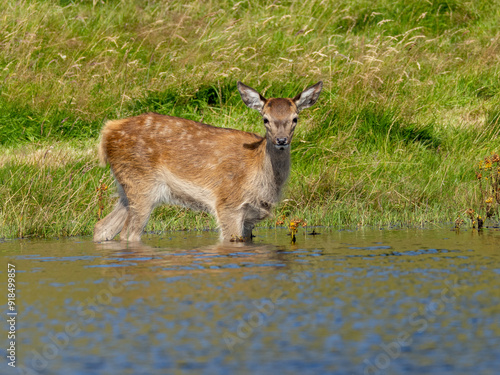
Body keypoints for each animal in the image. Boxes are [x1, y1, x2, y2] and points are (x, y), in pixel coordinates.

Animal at [92, 80, 322, 242]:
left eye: (295, 118)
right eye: (265, 119)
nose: (281, 140)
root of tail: (107, 131)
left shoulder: (251, 216)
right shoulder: (228, 204)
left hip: (126, 187)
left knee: (101, 227)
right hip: (142, 183)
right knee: (128, 234)